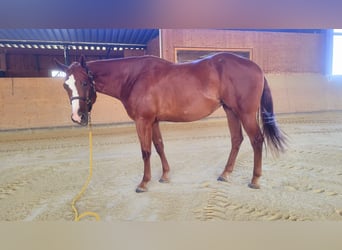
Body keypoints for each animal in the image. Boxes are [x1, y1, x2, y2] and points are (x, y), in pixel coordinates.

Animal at [56, 52, 286, 192]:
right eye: (65, 86)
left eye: (85, 82)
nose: (77, 117)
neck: (133, 76)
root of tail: (256, 67)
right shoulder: (153, 121)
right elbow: (159, 146)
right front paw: (165, 176)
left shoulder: (142, 121)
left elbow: (146, 151)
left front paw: (144, 183)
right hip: (230, 111)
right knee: (236, 139)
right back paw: (225, 174)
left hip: (245, 113)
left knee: (256, 140)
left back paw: (255, 180)